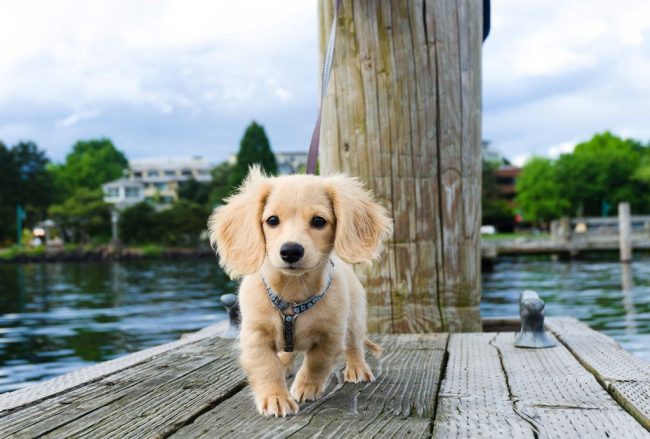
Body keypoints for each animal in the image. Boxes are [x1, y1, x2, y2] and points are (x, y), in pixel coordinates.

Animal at [208, 167, 390, 418]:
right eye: (272, 220)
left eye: (319, 221)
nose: (291, 251)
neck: (292, 295)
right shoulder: (255, 334)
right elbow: (266, 365)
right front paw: (275, 397)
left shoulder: (331, 335)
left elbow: (317, 363)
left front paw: (306, 387)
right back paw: (285, 364)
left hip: (354, 318)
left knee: (354, 344)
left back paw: (357, 368)